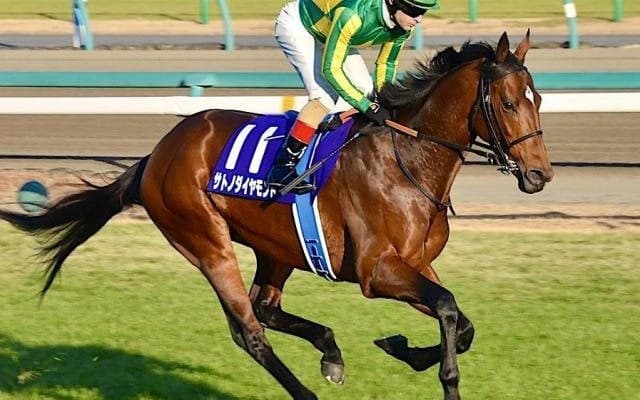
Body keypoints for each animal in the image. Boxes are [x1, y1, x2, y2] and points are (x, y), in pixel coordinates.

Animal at [0, 31, 553, 400]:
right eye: (507, 103)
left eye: (539, 98)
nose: (540, 174)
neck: (408, 160)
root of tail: (156, 154)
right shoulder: (377, 272)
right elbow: (448, 309)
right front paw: (436, 371)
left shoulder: (417, 264)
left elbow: (460, 321)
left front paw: (401, 347)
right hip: (205, 241)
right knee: (249, 330)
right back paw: (307, 388)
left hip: (278, 247)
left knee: (264, 308)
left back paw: (331, 353)